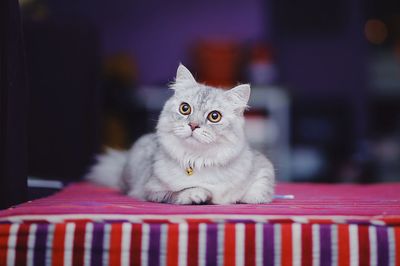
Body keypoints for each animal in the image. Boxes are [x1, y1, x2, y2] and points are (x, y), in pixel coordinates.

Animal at [86, 64, 276, 204]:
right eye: (185, 108)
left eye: (214, 116)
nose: (193, 125)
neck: (197, 160)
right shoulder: (153, 190)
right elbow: (183, 191)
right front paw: (199, 195)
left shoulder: (263, 167)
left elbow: (258, 192)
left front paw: (243, 198)